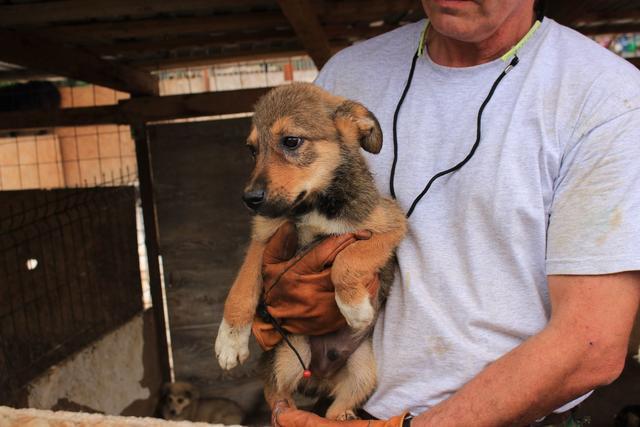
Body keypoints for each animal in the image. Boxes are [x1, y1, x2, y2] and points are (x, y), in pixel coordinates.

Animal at [214, 83, 404, 422]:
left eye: (291, 141)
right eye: (252, 150)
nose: (249, 199)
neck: (313, 205)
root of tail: (321, 376)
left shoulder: (389, 225)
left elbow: (349, 259)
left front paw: (354, 306)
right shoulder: (263, 237)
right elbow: (241, 288)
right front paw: (230, 339)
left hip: (364, 371)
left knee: (333, 408)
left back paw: (344, 417)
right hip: (290, 354)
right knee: (277, 394)